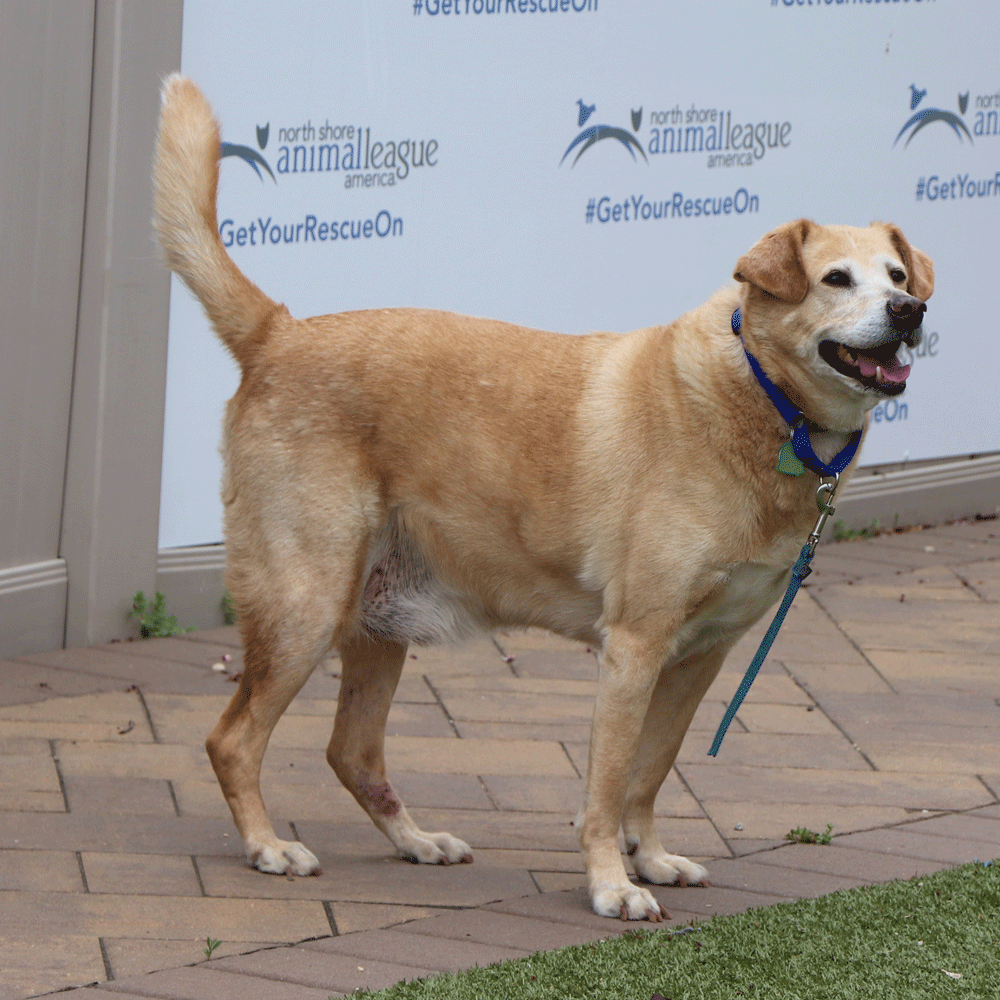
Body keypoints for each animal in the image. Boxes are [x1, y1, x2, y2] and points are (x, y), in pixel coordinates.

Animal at [153, 75, 933, 921]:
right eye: (835, 279)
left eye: (895, 277)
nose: (910, 311)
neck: (765, 406)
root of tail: (279, 332)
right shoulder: (633, 647)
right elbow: (606, 786)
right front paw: (611, 884)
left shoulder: (701, 656)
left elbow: (649, 773)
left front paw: (649, 857)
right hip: (305, 607)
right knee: (233, 740)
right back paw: (267, 847)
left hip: (379, 620)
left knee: (350, 751)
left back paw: (416, 842)